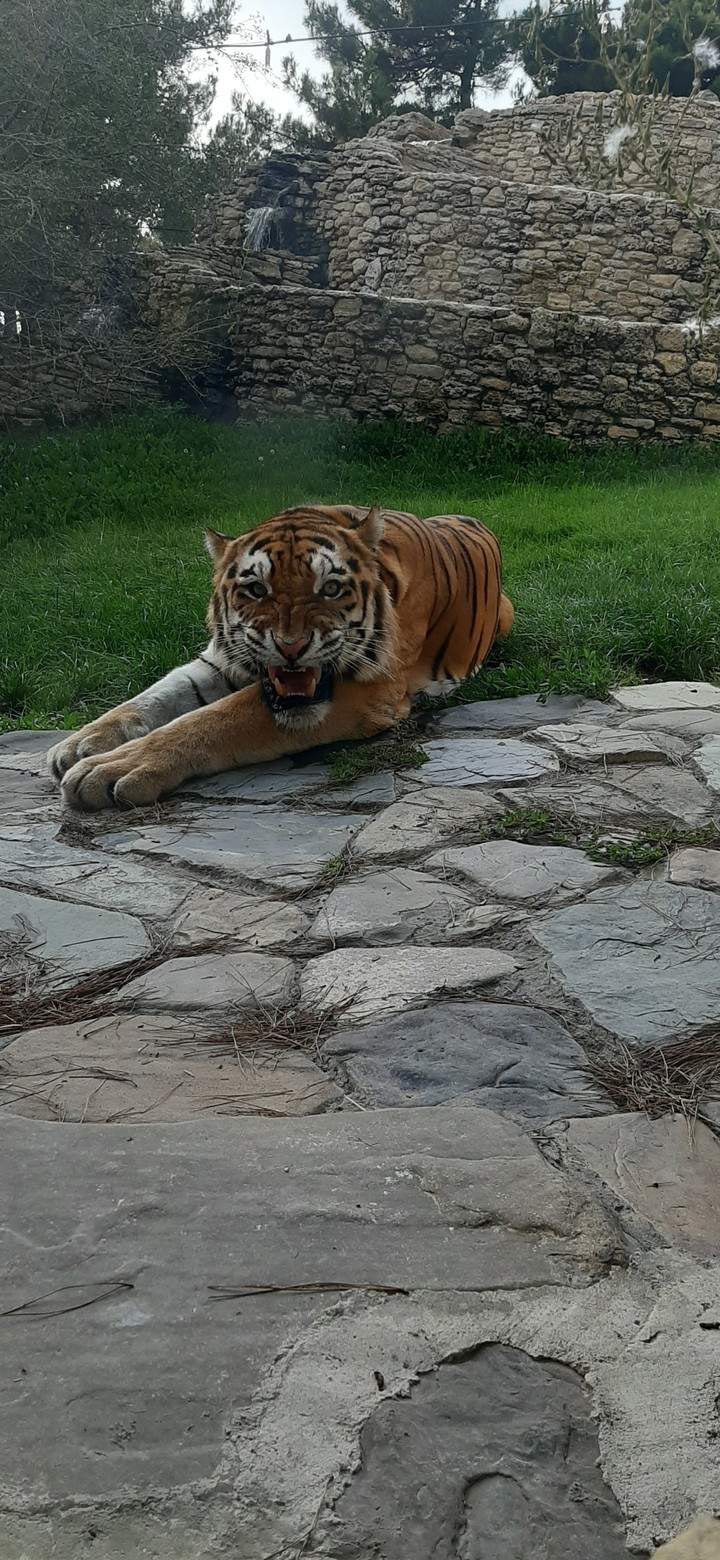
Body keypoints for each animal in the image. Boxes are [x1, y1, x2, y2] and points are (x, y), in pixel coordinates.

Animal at [49, 503, 514, 811]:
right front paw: (80, 742)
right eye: (256, 590)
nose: (291, 647)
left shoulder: (369, 689)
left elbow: (213, 720)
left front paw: (109, 768)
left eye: (331, 588)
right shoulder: (220, 659)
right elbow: (156, 696)